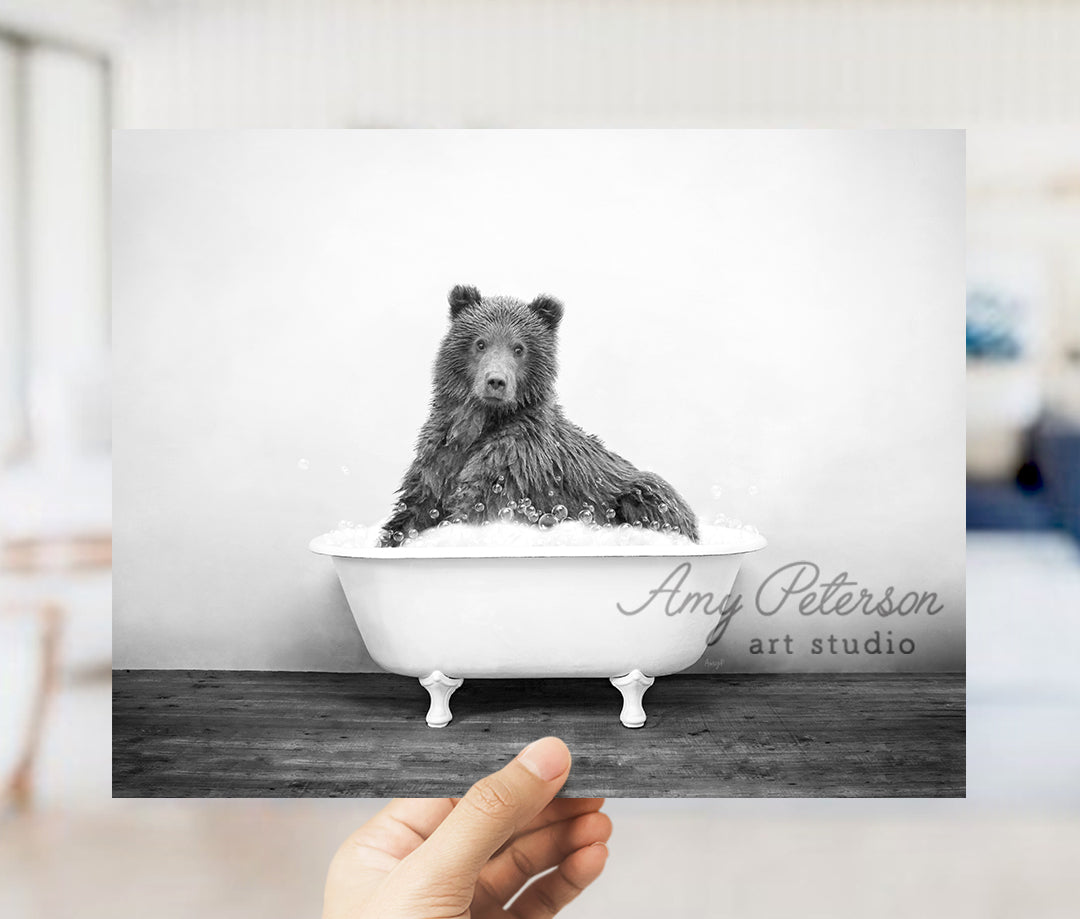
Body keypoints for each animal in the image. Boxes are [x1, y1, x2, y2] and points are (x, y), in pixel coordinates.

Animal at [380, 285, 699, 546]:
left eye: (519, 348)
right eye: (480, 343)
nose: (496, 381)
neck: (481, 422)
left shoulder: (515, 459)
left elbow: (478, 505)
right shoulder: (439, 455)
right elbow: (415, 508)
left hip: (637, 491)